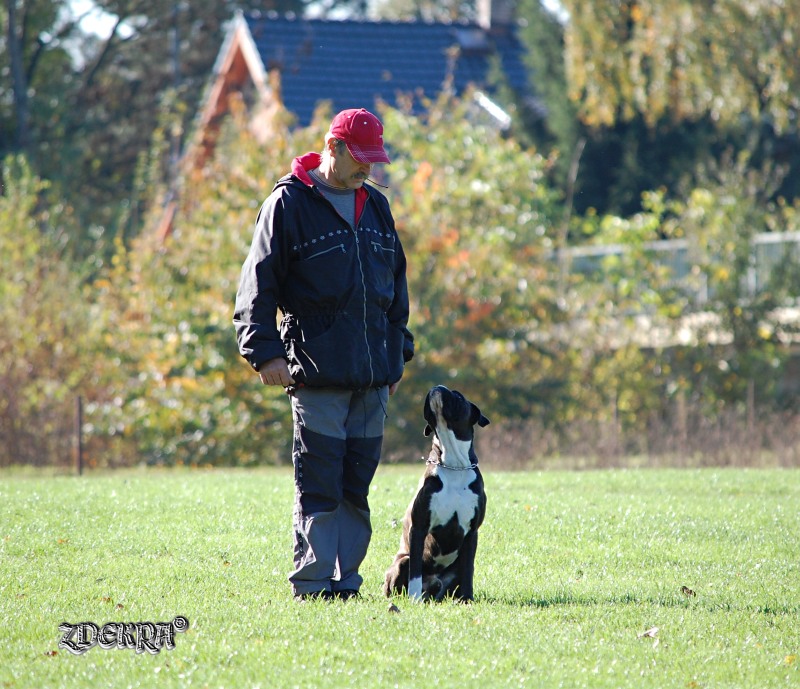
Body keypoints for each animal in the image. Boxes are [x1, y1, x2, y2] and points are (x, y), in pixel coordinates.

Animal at [384, 384, 490, 600]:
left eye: (458, 395)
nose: (439, 386)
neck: (454, 465)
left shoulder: (472, 532)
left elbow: (469, 570)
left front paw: (467, 599)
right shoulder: (419, 527)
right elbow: (415, 572)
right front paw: (414, 599)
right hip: (402, 562)